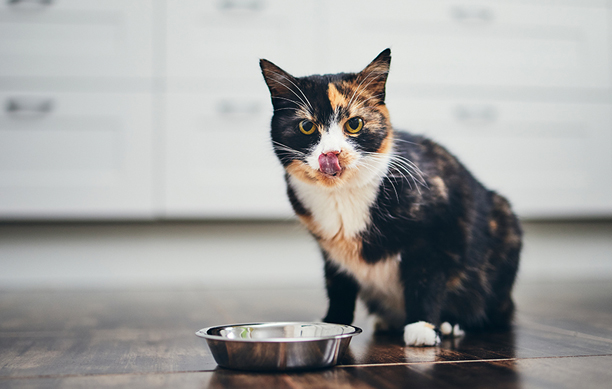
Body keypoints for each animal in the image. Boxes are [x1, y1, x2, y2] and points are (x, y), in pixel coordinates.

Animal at [258, 48, 520, 346]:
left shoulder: (436, 229)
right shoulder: (331, 252)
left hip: (502, 226)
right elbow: (338, 286)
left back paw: (452, 323)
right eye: (306, 126)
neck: (342, 195)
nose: (332, 153)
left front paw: (422, 327)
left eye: (354, 124)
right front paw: (332, 323)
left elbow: (425, 278)